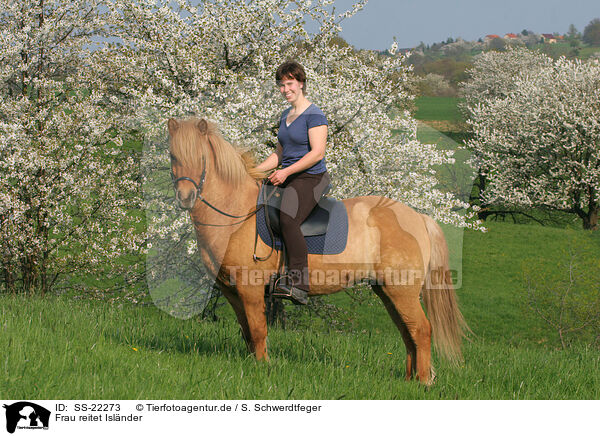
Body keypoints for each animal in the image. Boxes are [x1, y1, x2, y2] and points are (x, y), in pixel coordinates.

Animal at [166, 117, 466, 384]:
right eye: (173, 156)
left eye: (201, 158)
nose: (185, 198)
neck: (238, 215)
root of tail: (418, 217)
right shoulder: (231, 291)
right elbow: (247, 333)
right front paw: (253, 364)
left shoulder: (250, 289)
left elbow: (258, 331)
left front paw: (263, 367)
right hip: (388, 291)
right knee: (408, 332)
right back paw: (409, 380)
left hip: (401, 290)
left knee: (421, 330)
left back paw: (424, 381)